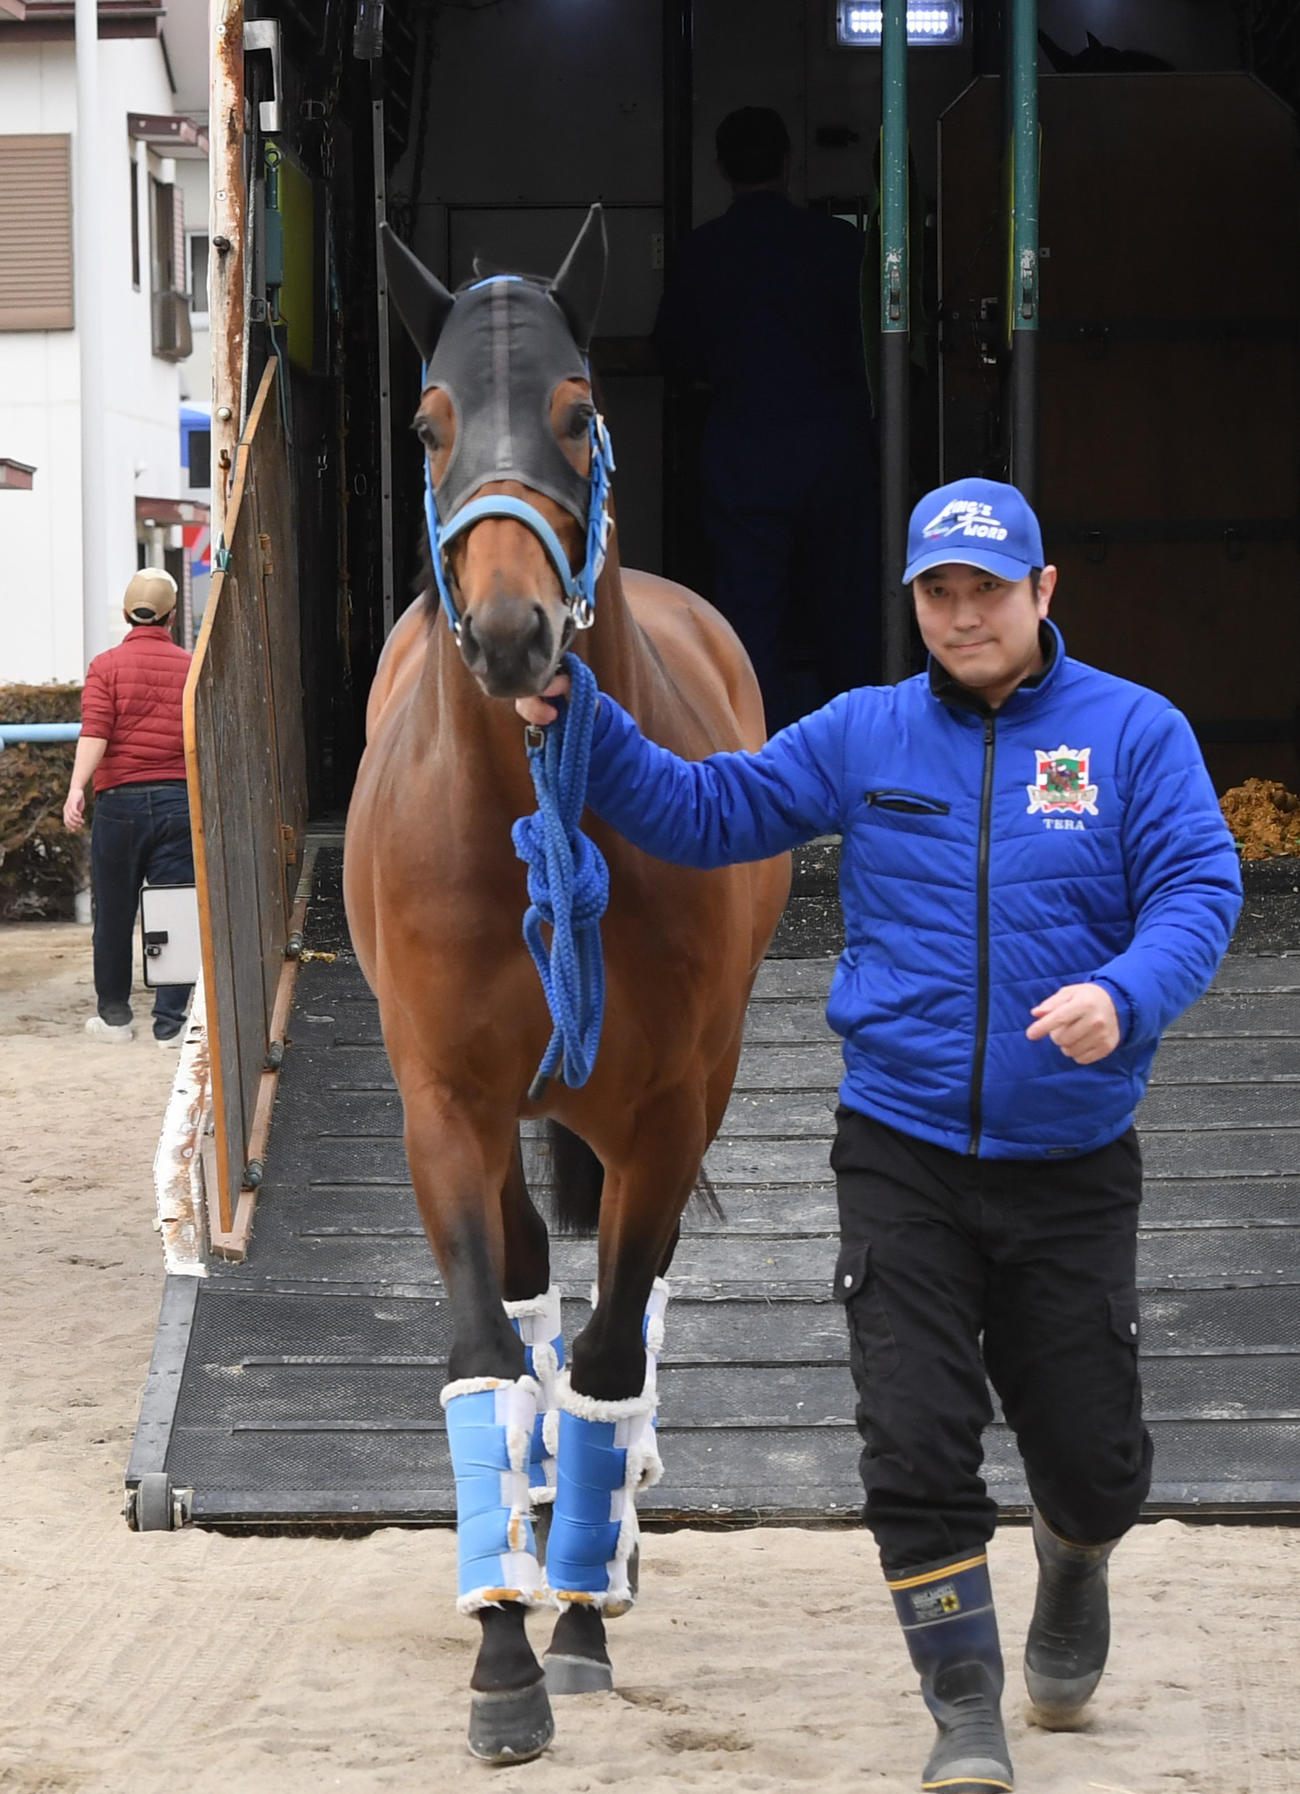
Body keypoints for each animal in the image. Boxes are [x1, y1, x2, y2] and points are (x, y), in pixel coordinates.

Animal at [343, 207, 790, 1763]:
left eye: (578, 413)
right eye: (427, 425)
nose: (511, 634)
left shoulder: (666, 1110)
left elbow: (605, 1357)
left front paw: (584, 1621)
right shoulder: (441, 1107)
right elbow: (493, 1347)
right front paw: (503, 1647)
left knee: (620, 1322)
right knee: (538, 1285)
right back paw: (536, 1523)